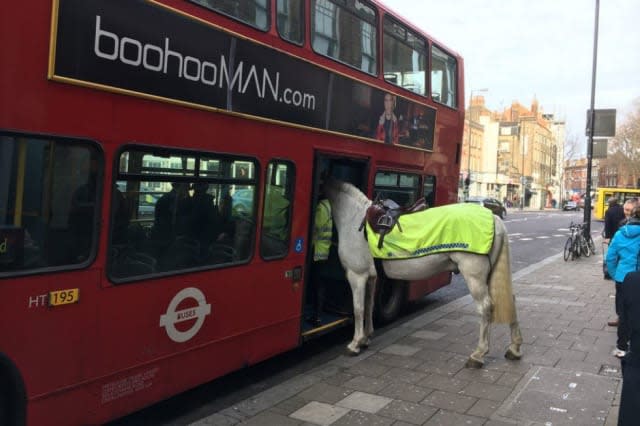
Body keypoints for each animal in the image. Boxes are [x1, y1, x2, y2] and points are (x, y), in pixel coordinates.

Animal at [322, 178, 524, 368]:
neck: (355, 218)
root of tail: (494, 218)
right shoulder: (371, 276)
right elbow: (368, 305)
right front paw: (366, 338)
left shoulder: (357, 275)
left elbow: (358, 309)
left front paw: (355, 344)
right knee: (510, 300)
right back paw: (514, 348)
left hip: (474, 277)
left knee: (485, 307)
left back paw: (478, 355)